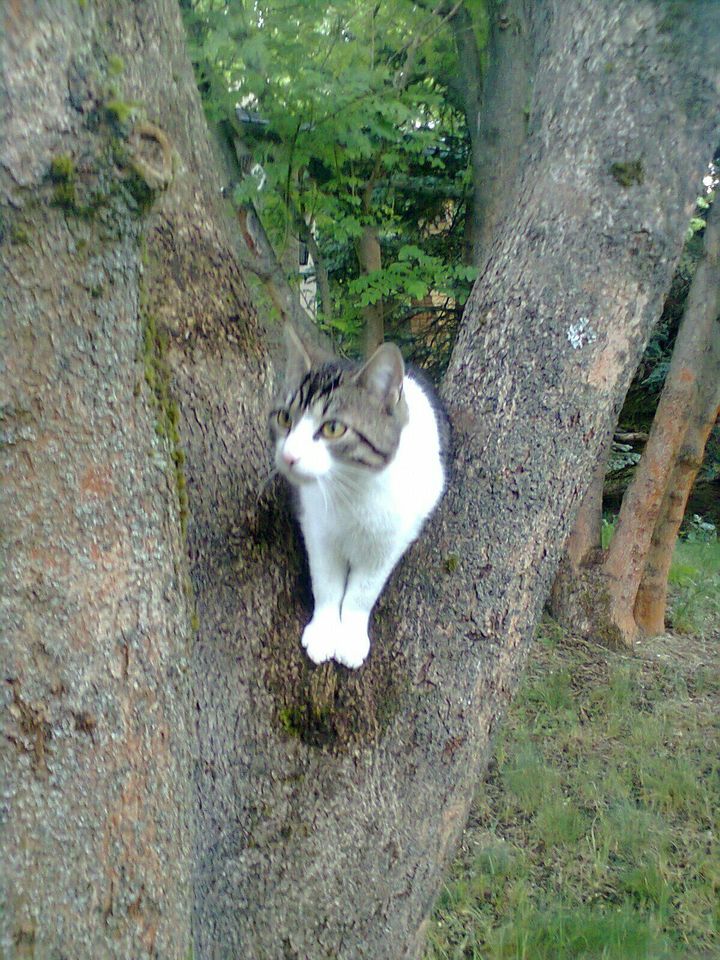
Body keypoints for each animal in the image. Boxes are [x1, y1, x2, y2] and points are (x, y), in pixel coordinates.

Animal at [272, 326, 448, 672]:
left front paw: (350, 637)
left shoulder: (391, 540)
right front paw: (325, 631)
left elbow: (363, 590)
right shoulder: (316, 527)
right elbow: (326, 580)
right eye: (285, 418)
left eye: (333, 428)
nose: (288, 456)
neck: (351, 490)